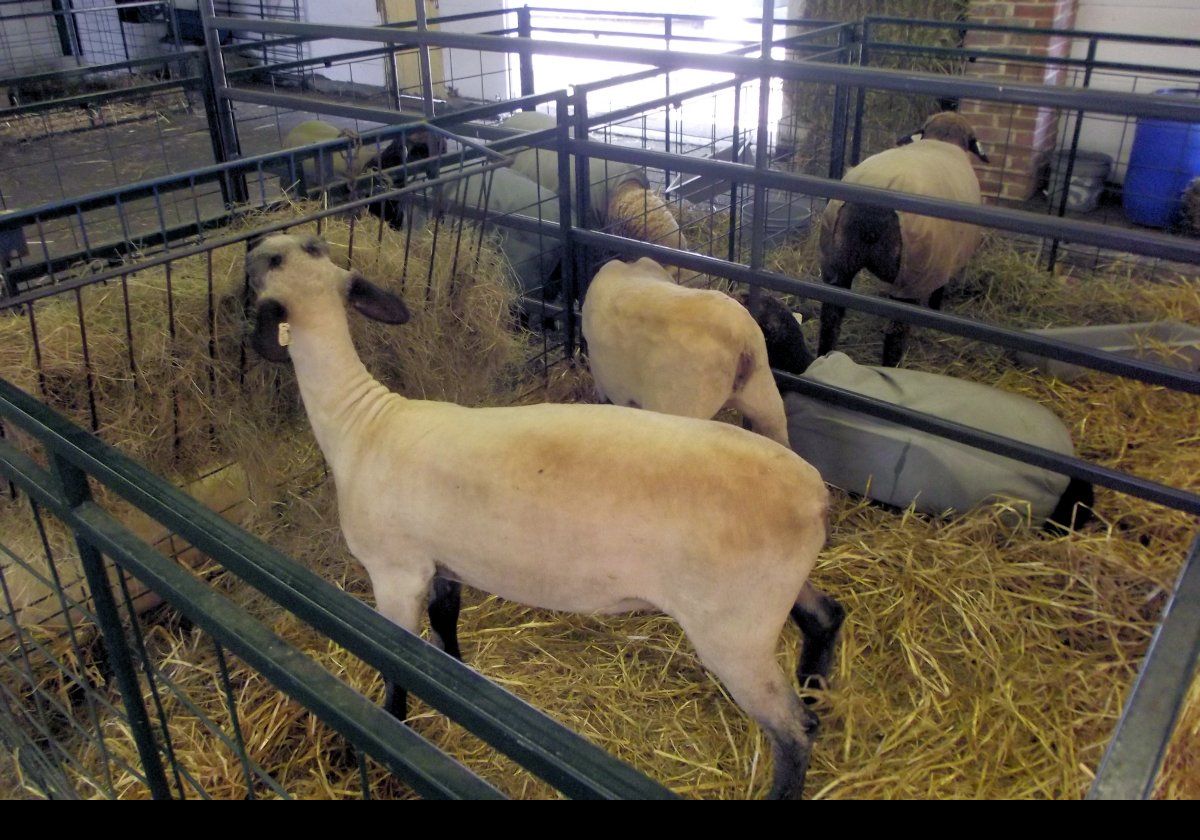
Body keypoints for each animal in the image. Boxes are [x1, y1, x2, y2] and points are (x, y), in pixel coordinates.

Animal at [241, 231, 844, 801]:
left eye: (271, 262)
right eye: (301, 249)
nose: (251, 246)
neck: (361, 422)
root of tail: (813, 495)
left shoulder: (396, 571)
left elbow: (397, 661)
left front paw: (387, 726)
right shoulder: (442, 562)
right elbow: (446, 625)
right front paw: (458, 682)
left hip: (731, 630)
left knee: (793, 729)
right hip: (766, 593)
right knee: (825, 615)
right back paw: (816, 682)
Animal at [820, 109, 988, 367]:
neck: (943, 141)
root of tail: (873, 209)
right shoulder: (944, 262)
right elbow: (939, 290)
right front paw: (935, 311)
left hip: (837, 263)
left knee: (831, 316)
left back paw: (823, 355)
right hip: (911, 277)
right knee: (895, 335)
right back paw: (893, 366)